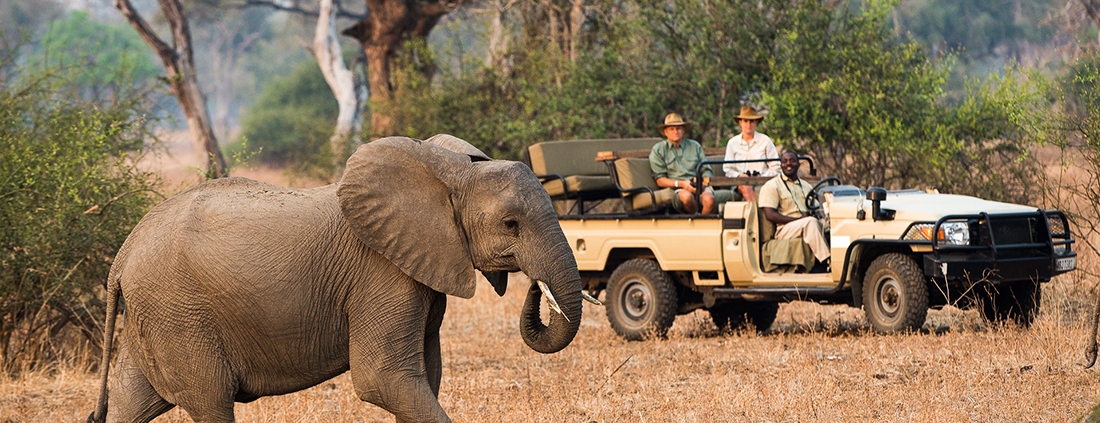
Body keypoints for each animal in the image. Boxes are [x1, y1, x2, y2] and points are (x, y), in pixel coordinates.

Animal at [88, 135, 585, 421]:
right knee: (210, 402)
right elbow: (383, 379)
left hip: (157, 315)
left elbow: (427, 374)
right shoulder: (381, 275)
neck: (448, 169)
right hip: (179, 312)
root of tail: (122, 256)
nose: (534, 287)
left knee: (134, 400)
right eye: (511, 225)